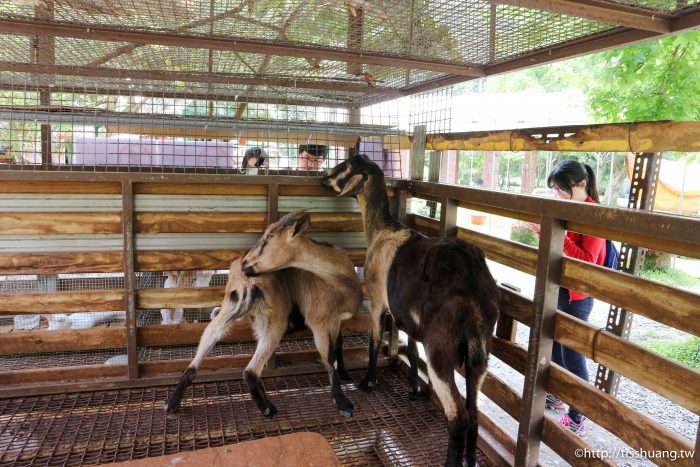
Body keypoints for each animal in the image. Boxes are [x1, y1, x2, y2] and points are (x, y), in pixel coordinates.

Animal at [165, 210, 360, 418]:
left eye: (270, 236)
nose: (245, 261)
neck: (339, 280)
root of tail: (245, 283)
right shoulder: (319, 322)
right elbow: (330, 359)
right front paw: (343, 403)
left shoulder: (336, 321)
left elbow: (339, 344)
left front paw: (346, 375)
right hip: (274, 322)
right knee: (251, 371)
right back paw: (267, 408)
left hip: (228, 312)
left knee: (204, 349)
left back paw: (172, 403)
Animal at [322, 155, 498, 466]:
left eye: (346, 166)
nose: (323, 178)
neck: (381, 230)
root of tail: (474, 291)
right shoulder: (410, 319)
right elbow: (413, 351)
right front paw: (415, 390)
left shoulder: (378, 300)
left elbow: (374, 341)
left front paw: (368, 382)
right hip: (480, 353)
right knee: (473, 409)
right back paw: (470, 459)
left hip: (440, 350)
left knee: (458, 414)